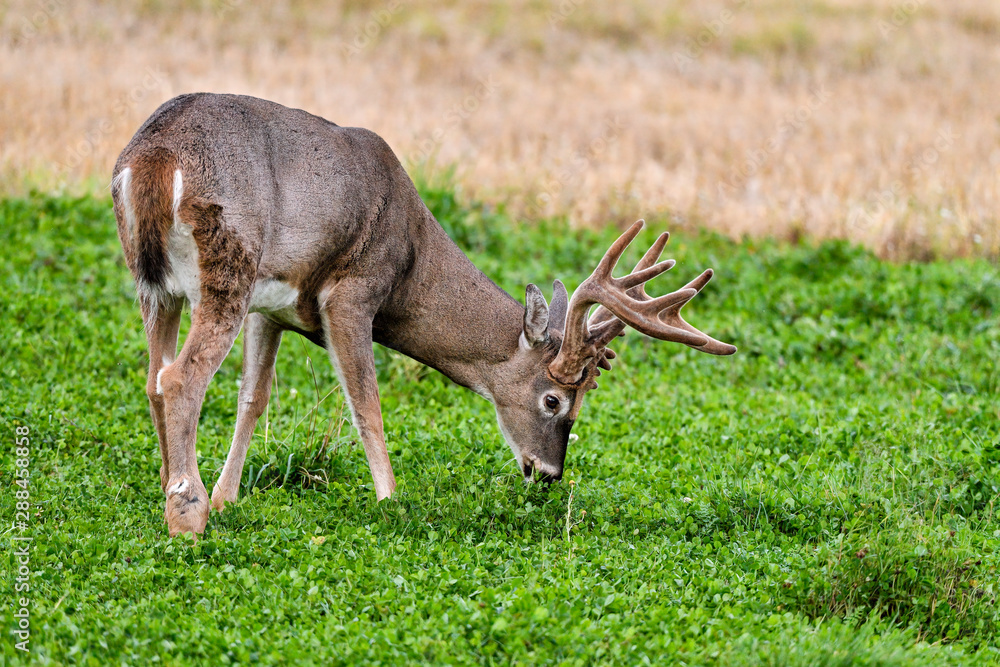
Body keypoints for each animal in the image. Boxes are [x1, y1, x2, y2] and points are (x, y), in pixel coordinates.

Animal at [111, 93, 737, 537]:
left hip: (158, 284)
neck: (410, 260)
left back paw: (172, 488)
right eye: (554, 401)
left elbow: (252, 399)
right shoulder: (351, 292)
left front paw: (228, 497)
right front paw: (391, 501)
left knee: (153, 377)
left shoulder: (274, 305)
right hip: (228, 266)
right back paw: (187, 516)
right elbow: (367, 405)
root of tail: (153, 159)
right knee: (180, 377)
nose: (548, 474)